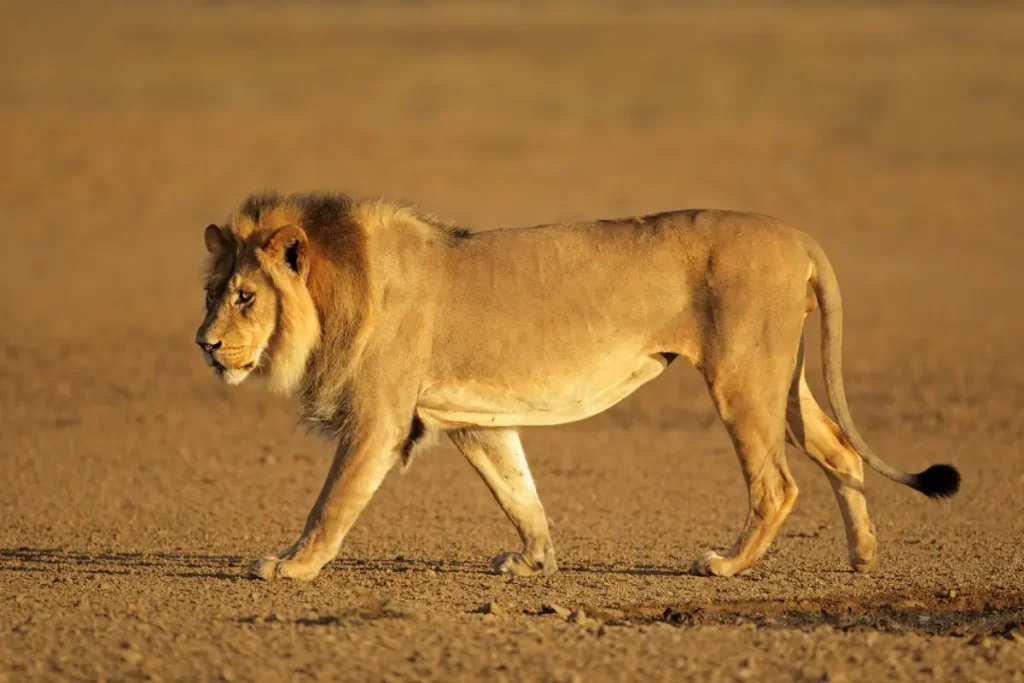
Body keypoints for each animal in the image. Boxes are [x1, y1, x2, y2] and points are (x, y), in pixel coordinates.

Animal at [197, 192, 958, 581]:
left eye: (245, 298)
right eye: (210, 294)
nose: (204, 345)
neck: (339, 286)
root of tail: (800, 236)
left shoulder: (379, 417)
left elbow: (331, 501)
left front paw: (291, 565)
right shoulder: (473, 417)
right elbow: (518, 492)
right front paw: (533, 561)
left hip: (742, 375)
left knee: (777, 483)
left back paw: (725, 564)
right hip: (783, 378)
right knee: (841, 452)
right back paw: (862, 557)